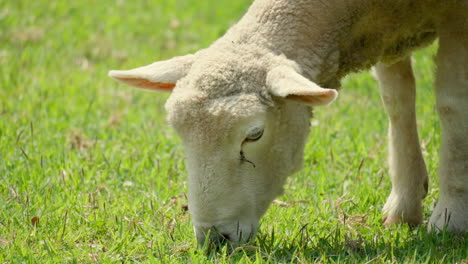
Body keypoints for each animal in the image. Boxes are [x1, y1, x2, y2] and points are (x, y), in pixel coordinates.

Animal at [108, 0, 466, 245]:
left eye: (254, 134)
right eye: (181, 136)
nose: (214, 240)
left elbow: (452, 104)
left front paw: (450, 217)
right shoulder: (388, 29)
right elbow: (396, 99)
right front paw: (404, 206)